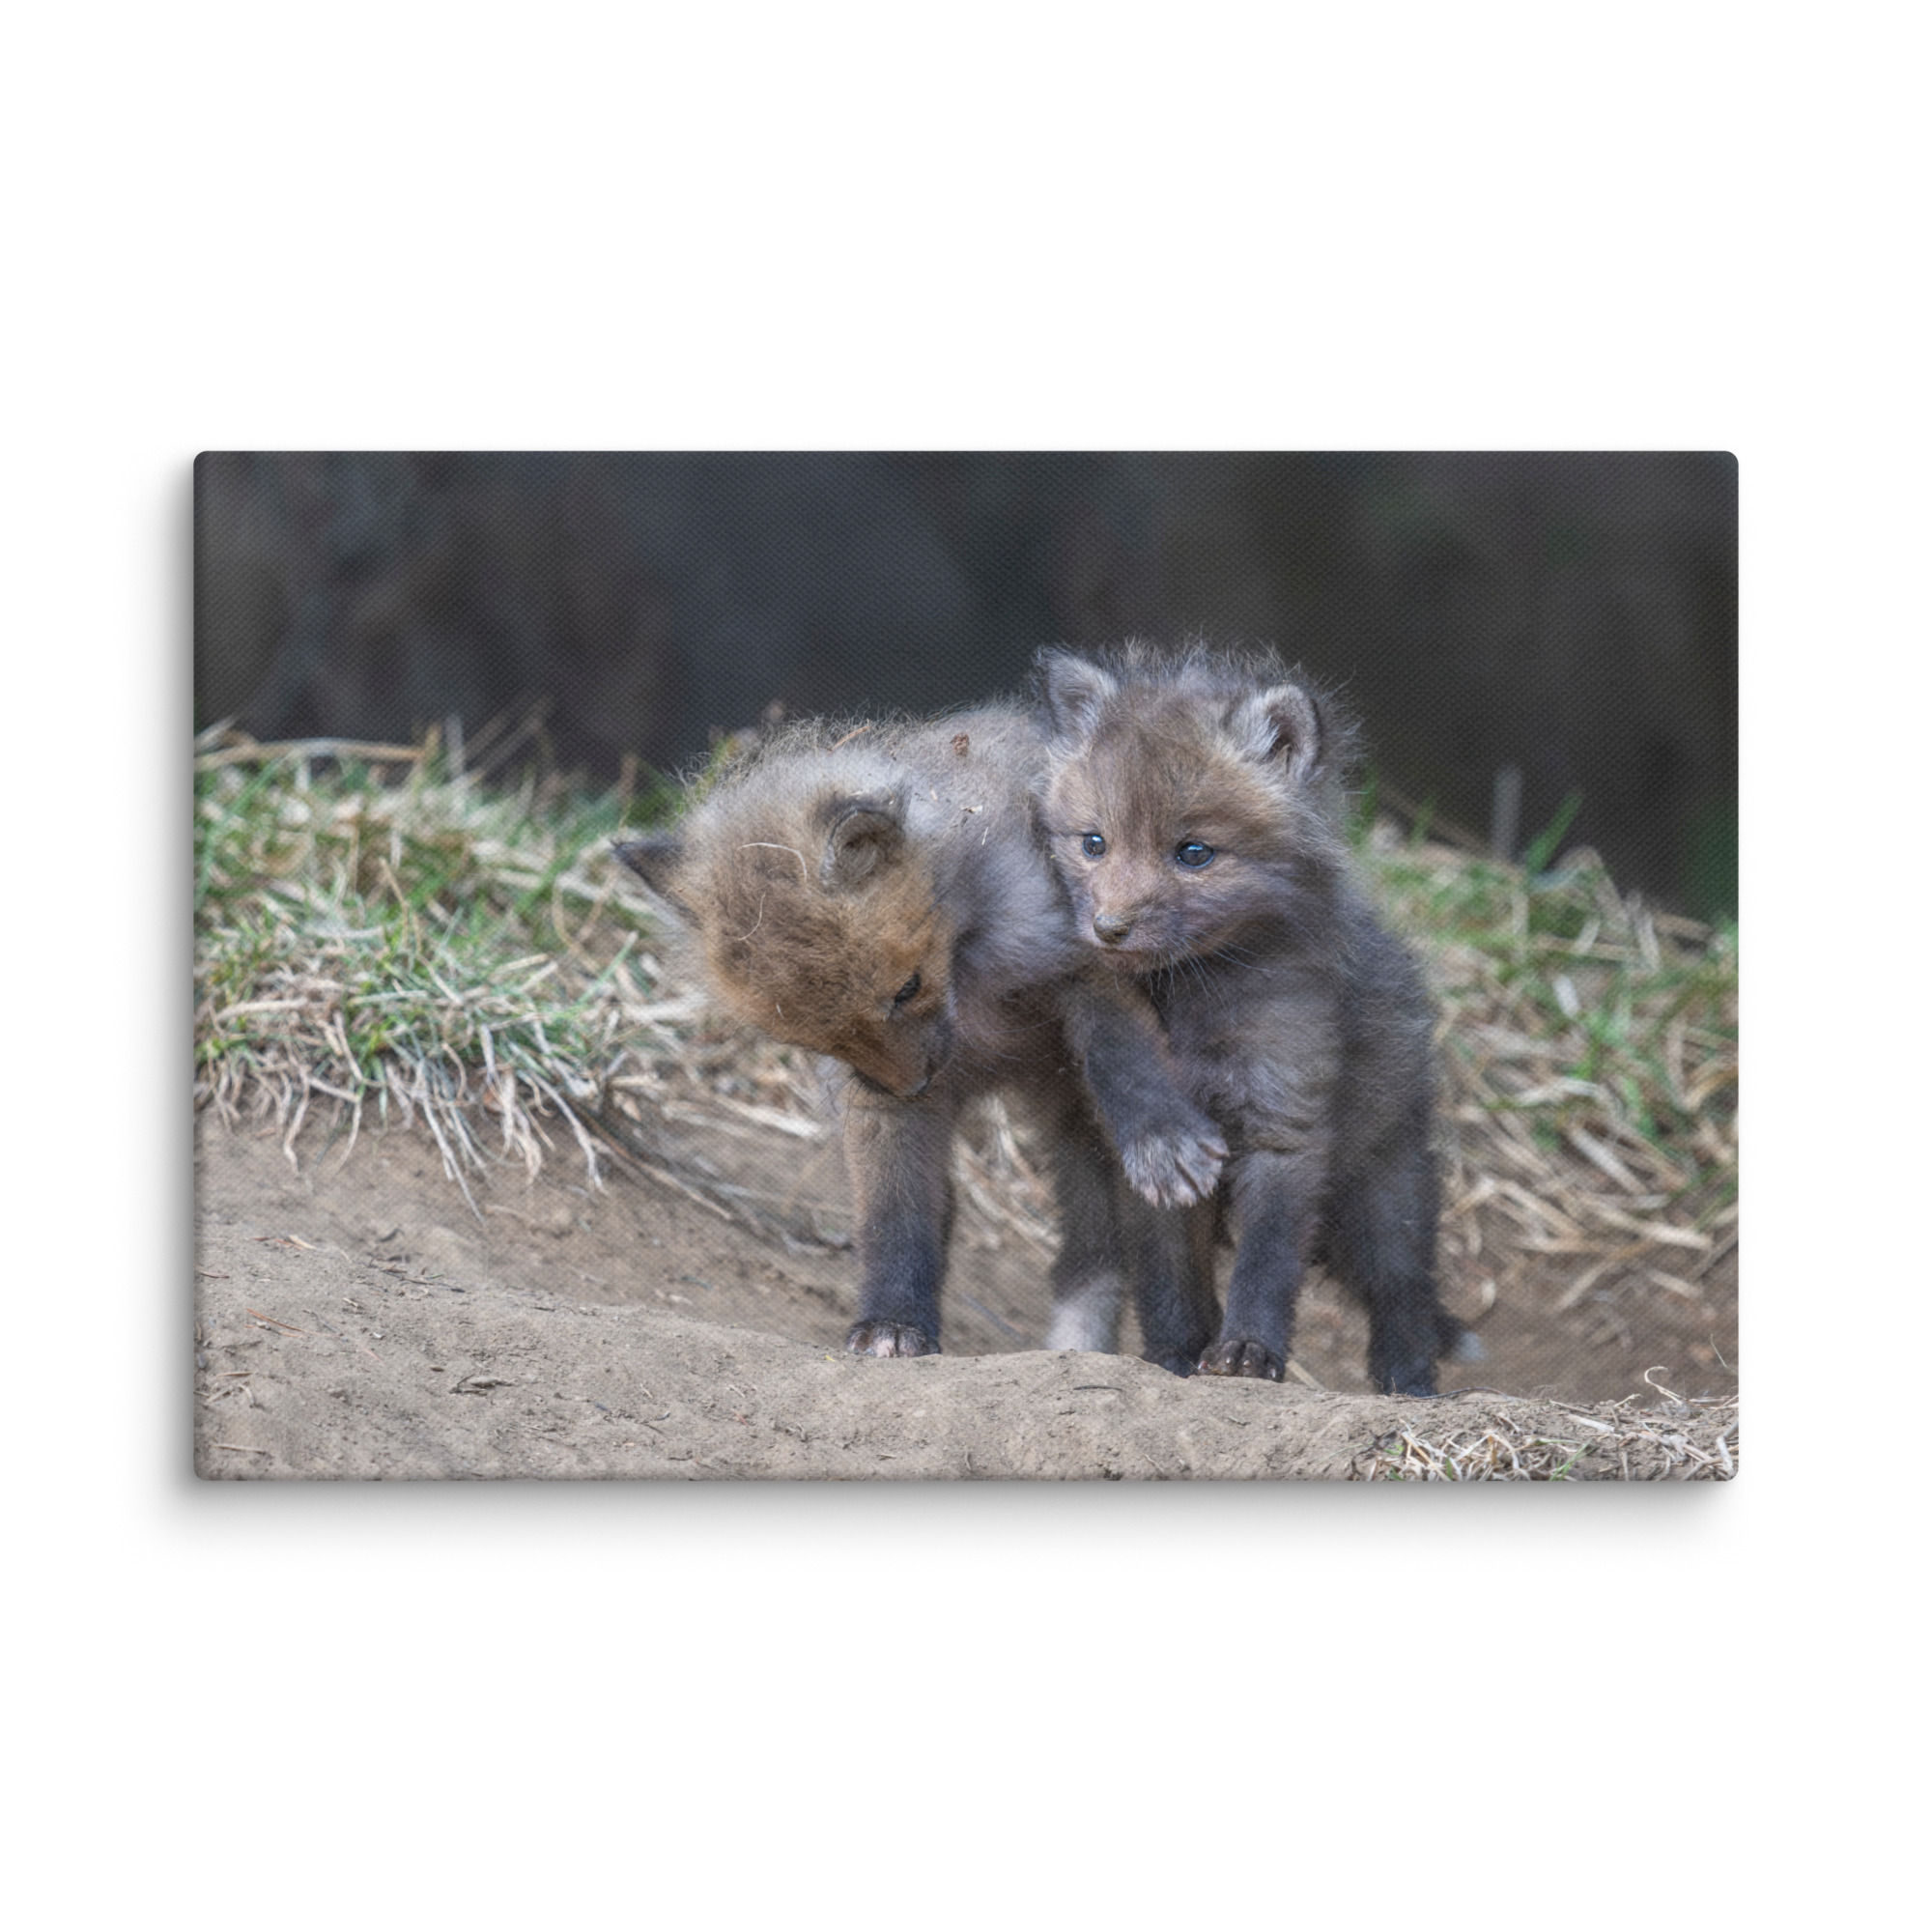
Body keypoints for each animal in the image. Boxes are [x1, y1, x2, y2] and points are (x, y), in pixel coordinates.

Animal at [613, 704, 1227, 1369]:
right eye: (815, 1038)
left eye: (907, 989)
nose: (914, 1084)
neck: (973, 980)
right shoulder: (874, 1100)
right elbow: (895, 1215)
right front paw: (893, 1322)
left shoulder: (1087, 960)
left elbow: (1125, 1059)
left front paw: (1161, 1137)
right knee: (1085, 1253)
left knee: (1156, 1254)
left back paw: (1180, 1353)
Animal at [1035, 643, 1457, 1395]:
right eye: (1094, 843)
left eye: (1194, 853)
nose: (1108, 929)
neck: (1193, 1002)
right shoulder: (1154, 1164)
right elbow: (1169, 1278)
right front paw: (1174, 1358)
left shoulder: (1284, 1125)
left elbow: (1266, 1264)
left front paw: (1247, 1354)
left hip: (1385, 1194)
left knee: (1405, 1294)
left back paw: (1410, 1388)